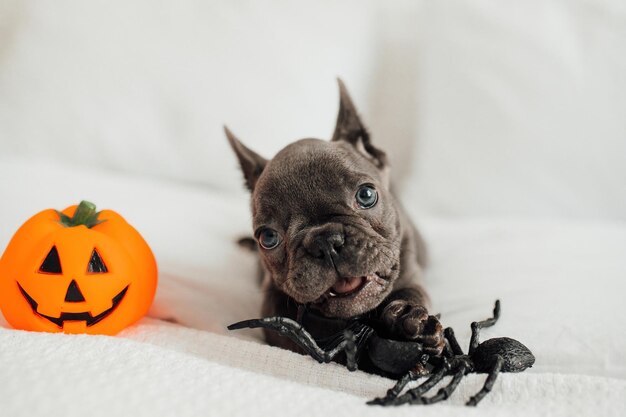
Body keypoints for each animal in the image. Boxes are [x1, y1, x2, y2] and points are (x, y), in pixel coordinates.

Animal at [224, 79, 444, 356]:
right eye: (268, 237)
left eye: (367, 195)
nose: (325, 241)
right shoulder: (271, 301)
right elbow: (291, 329)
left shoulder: (410, 270)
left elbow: (412, 293)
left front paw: (408, 320)